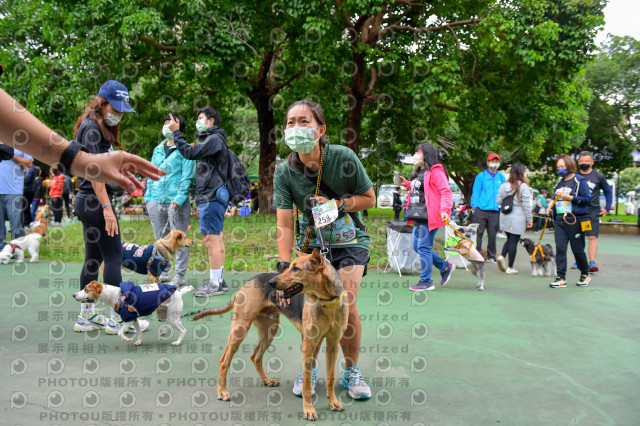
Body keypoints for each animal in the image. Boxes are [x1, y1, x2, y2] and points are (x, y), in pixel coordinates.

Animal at [190, 250, 348, 420]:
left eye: (296, 269)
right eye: (290, 266)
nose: (271, 283)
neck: (327, 302)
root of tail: (247, 283)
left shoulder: (333, 344)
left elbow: (330, 378)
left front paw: (333, 402)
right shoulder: (308, 344)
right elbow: (306, 383)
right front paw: (308, 409)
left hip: (269, 331)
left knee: (255, 356)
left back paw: (266, 380)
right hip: (240, 329)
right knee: (224, 360)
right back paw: (222, 392)